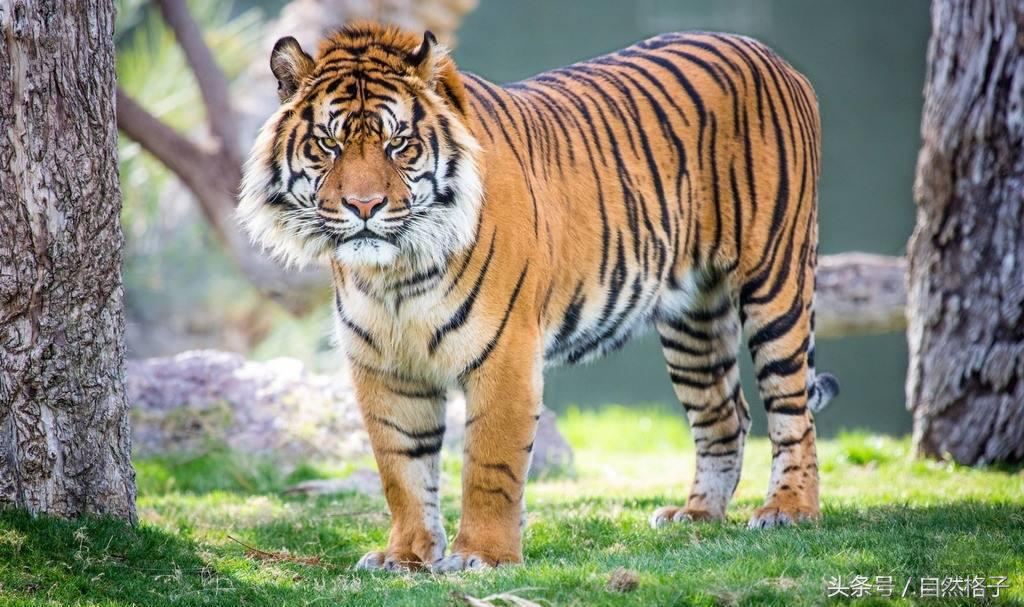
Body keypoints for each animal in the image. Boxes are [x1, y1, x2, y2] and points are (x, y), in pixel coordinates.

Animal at [238, 21, 839, 572]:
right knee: (725, 413)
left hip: (775, 281)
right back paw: (696, 515)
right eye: (329, 144)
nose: (364, 206)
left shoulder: (504, 353)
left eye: (399, 144)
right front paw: (405, 556)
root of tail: (764, 52)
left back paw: (788, 510)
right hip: (693, 317)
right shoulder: (384, 366)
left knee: (790, 410)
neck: (396, 275)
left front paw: (482, 556)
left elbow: (489, 464)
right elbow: (401, 469)